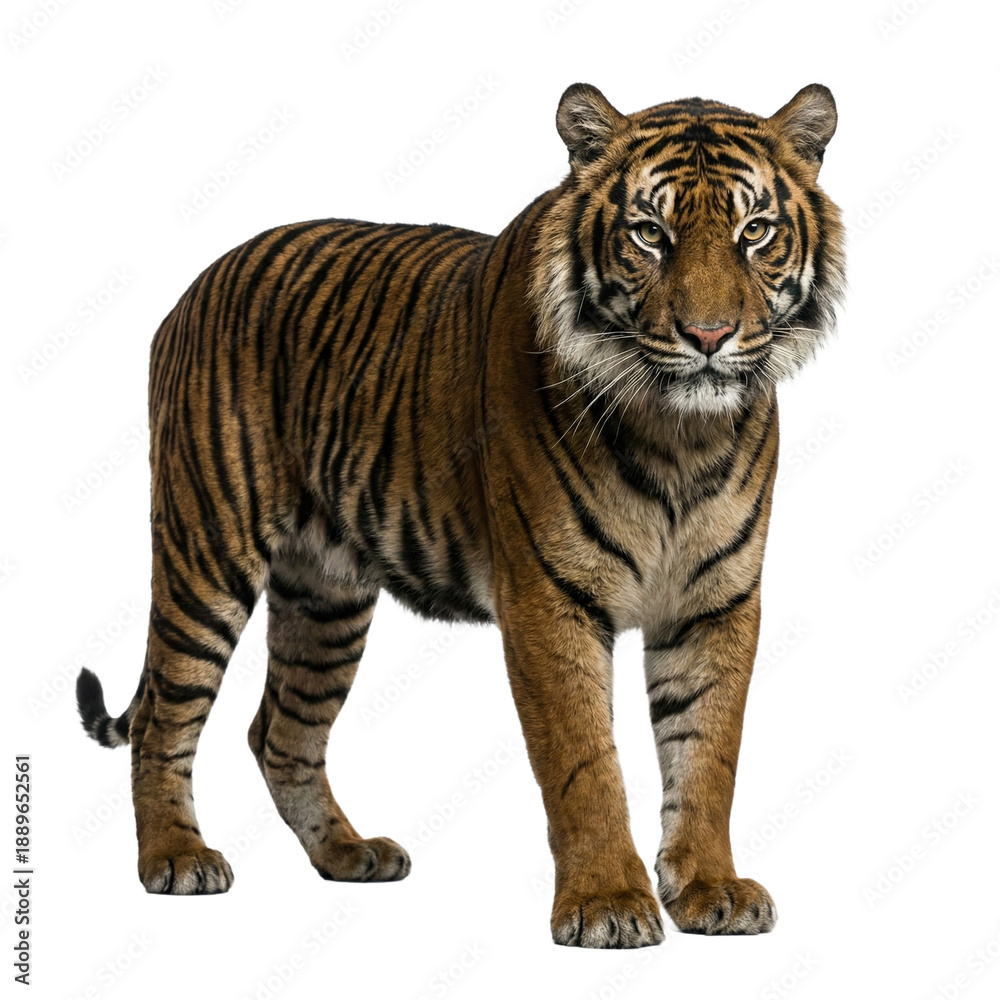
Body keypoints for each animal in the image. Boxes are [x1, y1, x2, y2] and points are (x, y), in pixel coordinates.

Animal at [76, 81, 845, 948]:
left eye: (756, 232)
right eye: (650, 233)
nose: (709, 336)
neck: (681, 433)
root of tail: (198, 282)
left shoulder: (716, 600)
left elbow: (709, 752)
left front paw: (711, 889)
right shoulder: (548, 598)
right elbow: (585, 760)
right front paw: (608, 902)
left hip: (326, 597)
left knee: (281, 731)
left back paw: (349, 853)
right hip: (206, 551)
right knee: (162, 714)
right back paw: (175, 858)